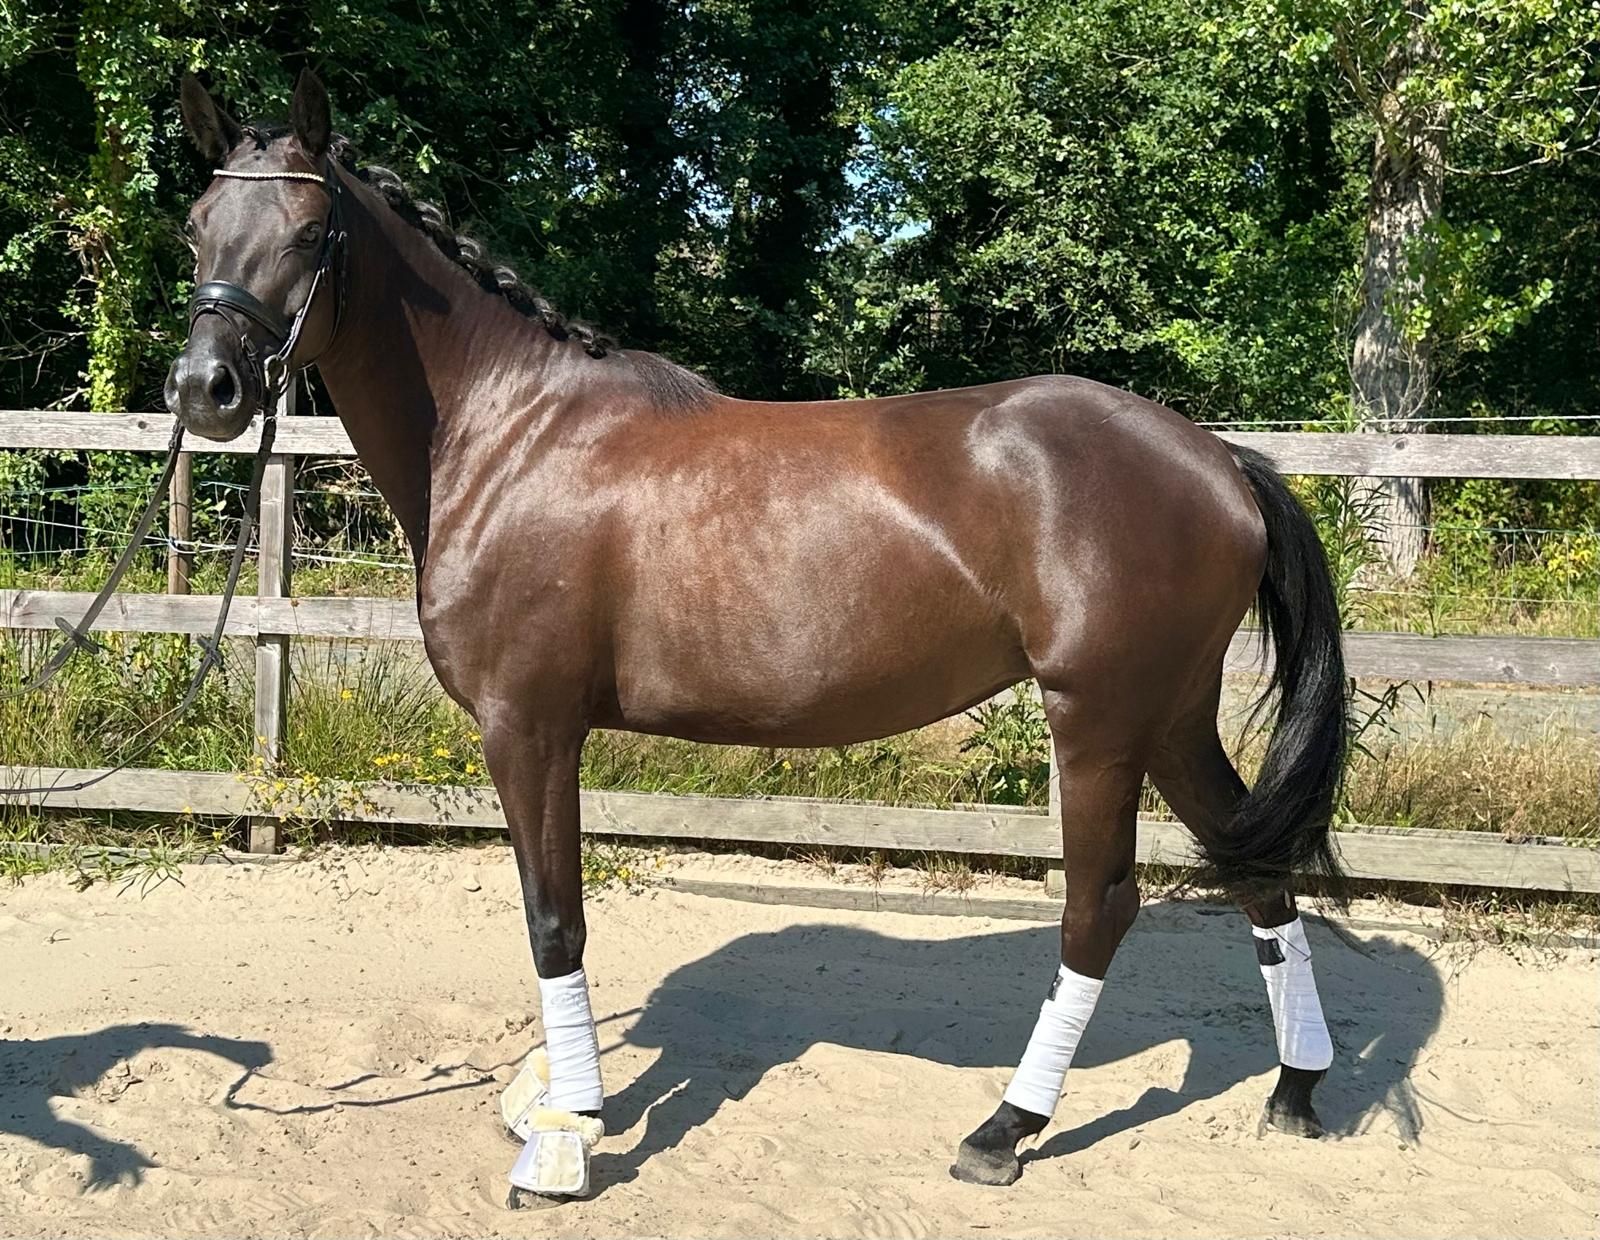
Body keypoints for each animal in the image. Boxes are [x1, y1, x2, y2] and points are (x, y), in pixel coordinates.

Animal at [166, 69, 1349, 1197]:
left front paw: (568, 1134)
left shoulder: (529, 727)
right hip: (1170, 718)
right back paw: (1296, 1088)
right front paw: (552, 1100)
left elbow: (554, 919)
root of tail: (1217, 458)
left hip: (1099, 722)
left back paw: (1006, 1128)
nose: (204, 388)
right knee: (1257, 870)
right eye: (197, 224)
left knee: (1099, 910)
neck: (511, 434)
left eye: (311, 233)